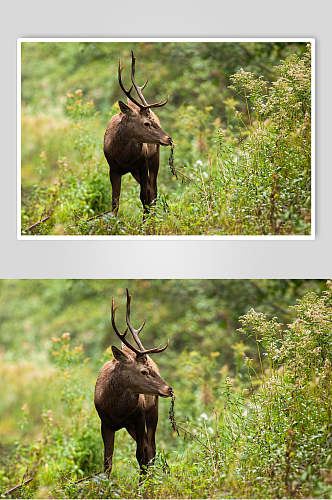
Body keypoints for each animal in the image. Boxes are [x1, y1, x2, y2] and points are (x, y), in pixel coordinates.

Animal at [93, 290, 171, 476]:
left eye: (152, 370)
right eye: (144, 371)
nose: (169, 389)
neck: (117, 410)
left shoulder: (139, 416)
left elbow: (141, 455)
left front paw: (143, 483)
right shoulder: (105, 423)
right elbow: (107, 462)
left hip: (152, 411)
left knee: (151, 449)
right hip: (131, 425)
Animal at [104, 52, 172, 215]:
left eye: (153, 121)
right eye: (146, 123)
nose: (169, 139)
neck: (123, 157)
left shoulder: (142, 163)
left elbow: (144, 196)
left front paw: (146, 221)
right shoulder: (113, 169)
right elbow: (115, 202)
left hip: (154, 158)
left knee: (153, 191)